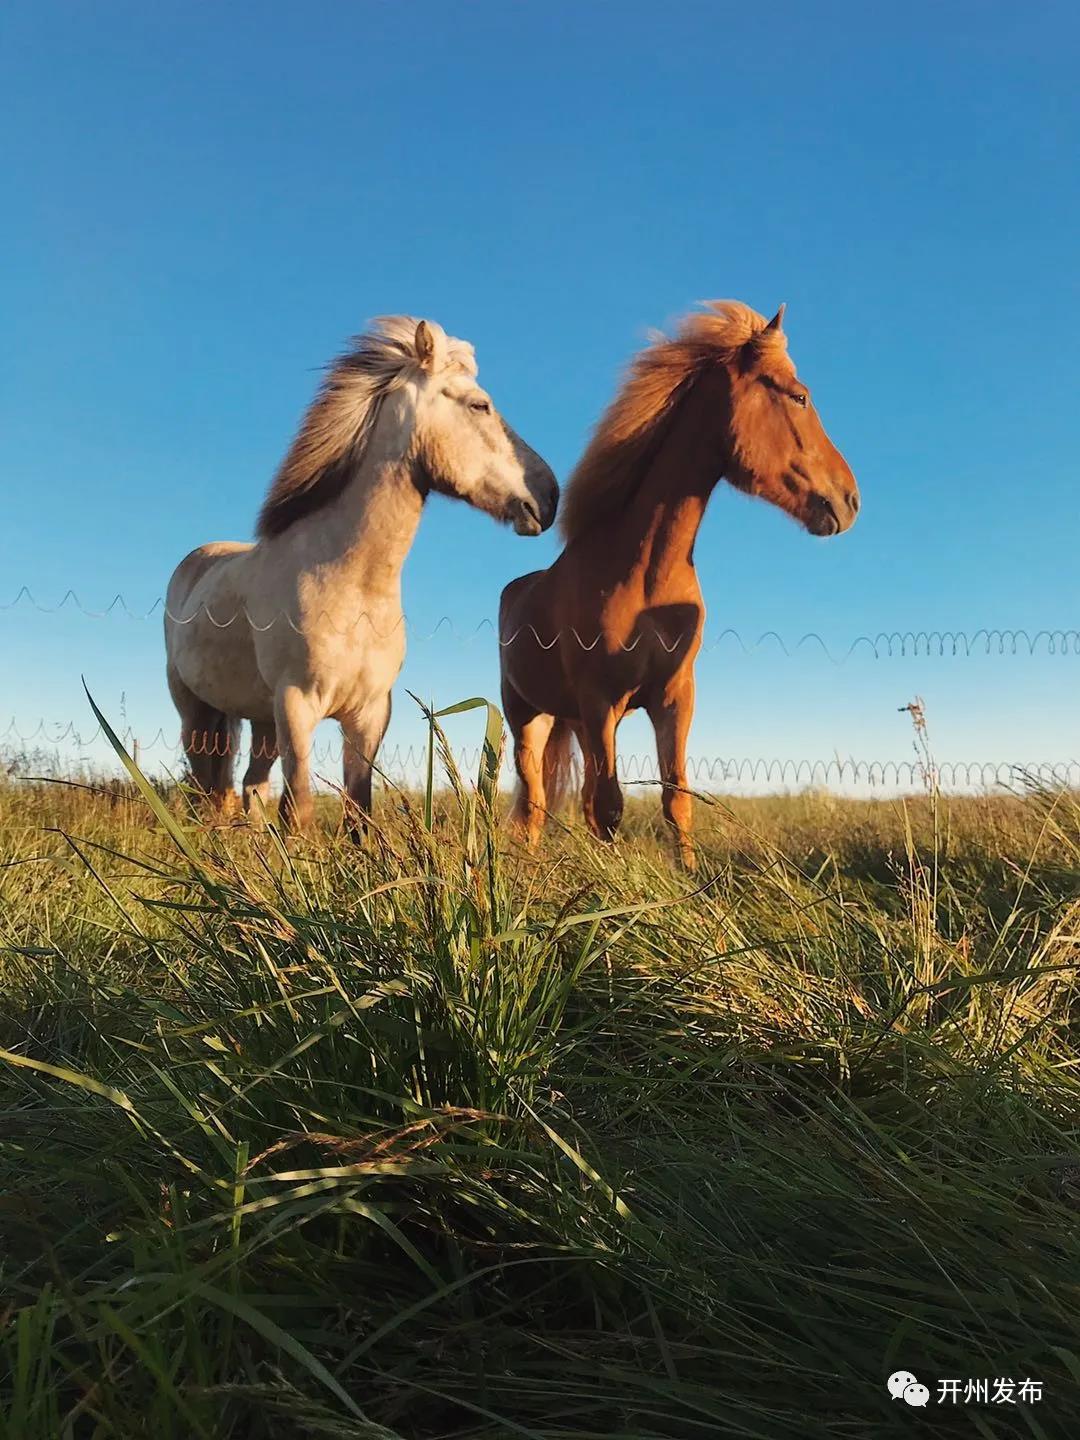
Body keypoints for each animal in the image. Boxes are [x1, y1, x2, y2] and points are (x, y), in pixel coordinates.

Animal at [167, 315, 567, 835]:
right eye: (479, 404)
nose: (549, 496)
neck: (349, 584)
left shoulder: (370, 713)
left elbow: (359, 813)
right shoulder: (297, 705)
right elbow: (300, 810)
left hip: (260, 719)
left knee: (251, 788)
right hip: (196, 710)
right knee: (205, 786)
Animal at [498, 300, 864, 864]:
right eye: (799, 395)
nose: (849, 500)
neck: (646, 572)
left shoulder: (673, 699)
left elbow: (675, 799)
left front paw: (688, 876)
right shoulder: (601, 700)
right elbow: (609, 807)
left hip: (572, 720)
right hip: (527, 716)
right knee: (535, 800)